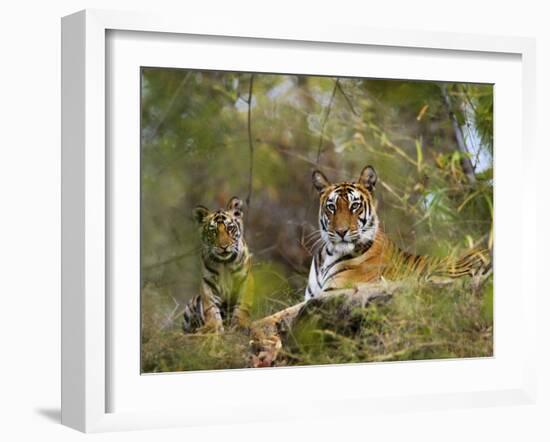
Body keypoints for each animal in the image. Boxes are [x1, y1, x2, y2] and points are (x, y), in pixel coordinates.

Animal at [184, 195, 256, 334]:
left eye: (230, 228)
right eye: (213, 232)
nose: (224, 247)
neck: (225, 263)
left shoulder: (245, 279)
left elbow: (242, 306)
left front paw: (240, 325)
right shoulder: (208, 283)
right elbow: (210, 307)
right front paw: (212, 327)